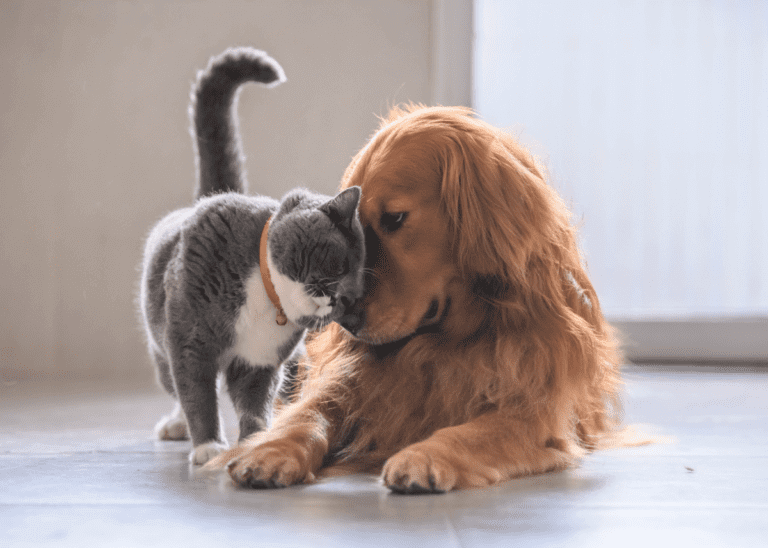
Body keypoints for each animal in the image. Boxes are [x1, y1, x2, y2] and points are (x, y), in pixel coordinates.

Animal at [139, 48, 366, 466]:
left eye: (355, 296)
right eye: (340, 264)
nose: (341, 298)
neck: (265, 296)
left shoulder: (260, 361)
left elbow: (254, 402)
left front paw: (256, 440)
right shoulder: (190, 341)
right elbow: (197, 392)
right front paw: (208, 445)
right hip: (160, 341)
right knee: (175, 384)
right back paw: (177, 425)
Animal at [212, 105, 624, 494]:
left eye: (395, 218)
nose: (346, 321)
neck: (446, 342)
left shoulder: (534, 413)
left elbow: (473, 431)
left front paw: (424, 456)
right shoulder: (348, 382)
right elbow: (307, 415)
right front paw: (269, 450)